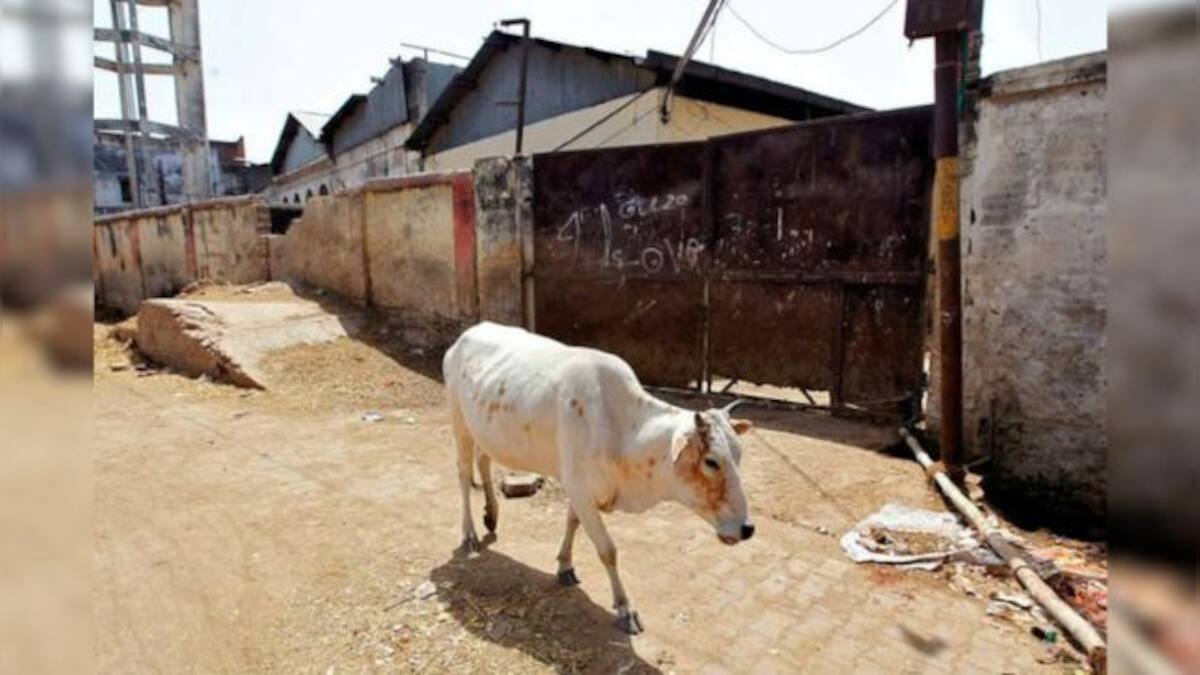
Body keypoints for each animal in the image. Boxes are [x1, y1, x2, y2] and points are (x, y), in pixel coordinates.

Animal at [443, 321, 755, 635]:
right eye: (711, 461)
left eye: (739, 455)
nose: (747, 528)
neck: (620, 430)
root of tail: (467, 334)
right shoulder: (579, 488)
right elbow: (608, 550)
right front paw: (625, 609)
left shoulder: (579, 488)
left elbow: (572, 522)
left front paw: (565, 567)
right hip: (459, 422)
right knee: (463, 475)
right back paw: (469, 534)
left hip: (484, 431)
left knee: (483, 461)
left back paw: (491, 515)